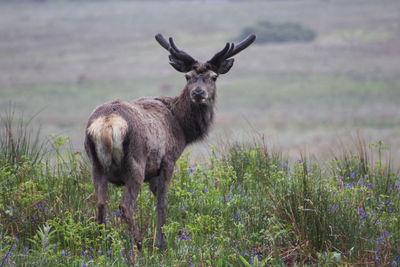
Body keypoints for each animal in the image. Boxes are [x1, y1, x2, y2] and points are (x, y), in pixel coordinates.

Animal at [84, 33, 256, 251]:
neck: (182, 127)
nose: (198, 93)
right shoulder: (168, 159)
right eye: (187, 76)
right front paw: (161, 243)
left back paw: (101, 245)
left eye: (214, 76)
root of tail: (107, 123)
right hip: (135, 162)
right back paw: (139, 245)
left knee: (100, 204)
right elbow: (162, 203)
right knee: (125, 206)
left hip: (95, 164)